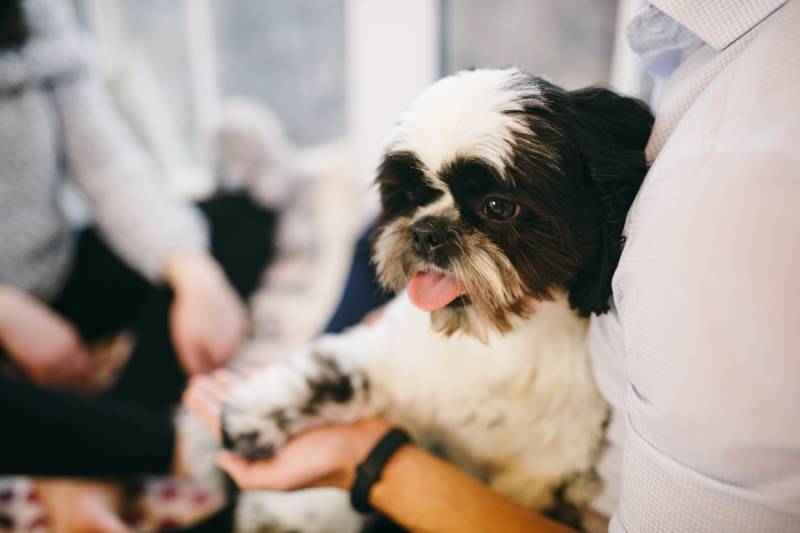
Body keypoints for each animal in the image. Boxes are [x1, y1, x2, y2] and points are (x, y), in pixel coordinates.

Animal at [217, 68, 648, 528]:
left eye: (498, 207)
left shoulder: (541, 470)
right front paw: (254, 416)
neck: (497, 338)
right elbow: (334, 376)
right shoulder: (398, 363)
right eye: (412, 195)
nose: (426, 231)